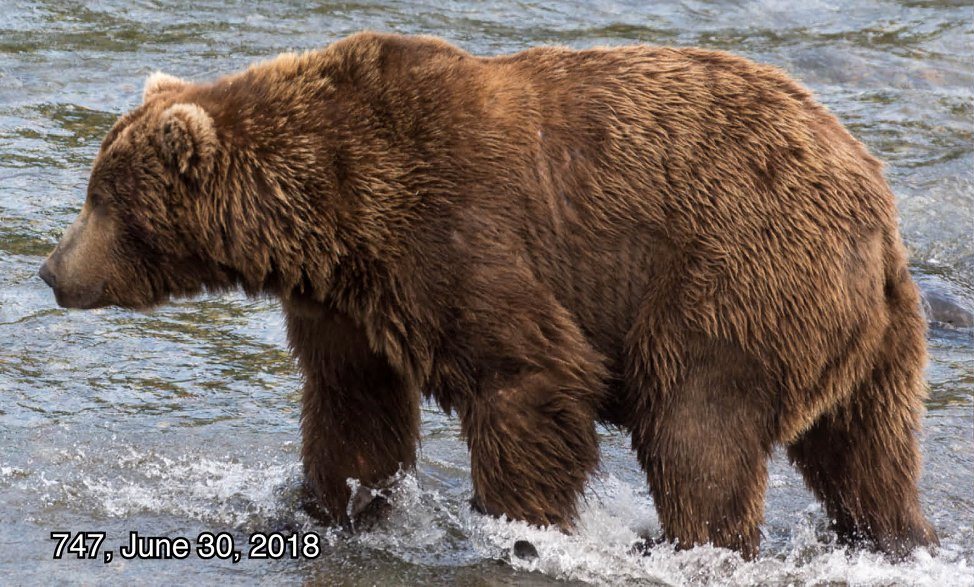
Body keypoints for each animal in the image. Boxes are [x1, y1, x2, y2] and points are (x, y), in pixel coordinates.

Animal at [36, 31, 936, 560]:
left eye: (100, 198)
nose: (50, 269)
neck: (327, 212)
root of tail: (879, 212)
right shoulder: (346, 301)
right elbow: (353, 406)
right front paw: (328, 506)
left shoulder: (454, 230)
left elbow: (525, 377)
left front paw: (517, 522)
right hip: (870, 339)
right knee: (867, 454)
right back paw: (897, 537)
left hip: (733, 274)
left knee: (698, 424)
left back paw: (692, 542)